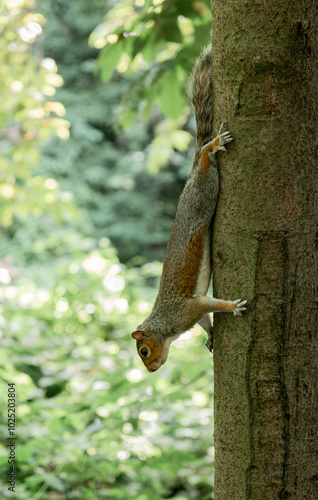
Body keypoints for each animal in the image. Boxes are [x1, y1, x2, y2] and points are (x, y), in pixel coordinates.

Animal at [130, 46, 247, 372]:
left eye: (144, 350)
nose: (152, 370)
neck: (166, 324)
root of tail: (191, 178)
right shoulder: (194, 314)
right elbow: (206, 320)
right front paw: (209, 336)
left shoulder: (187, 308)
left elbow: (212, 304)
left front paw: (233, 306)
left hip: (201, 197)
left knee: (206, 161)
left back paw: (212, 146)